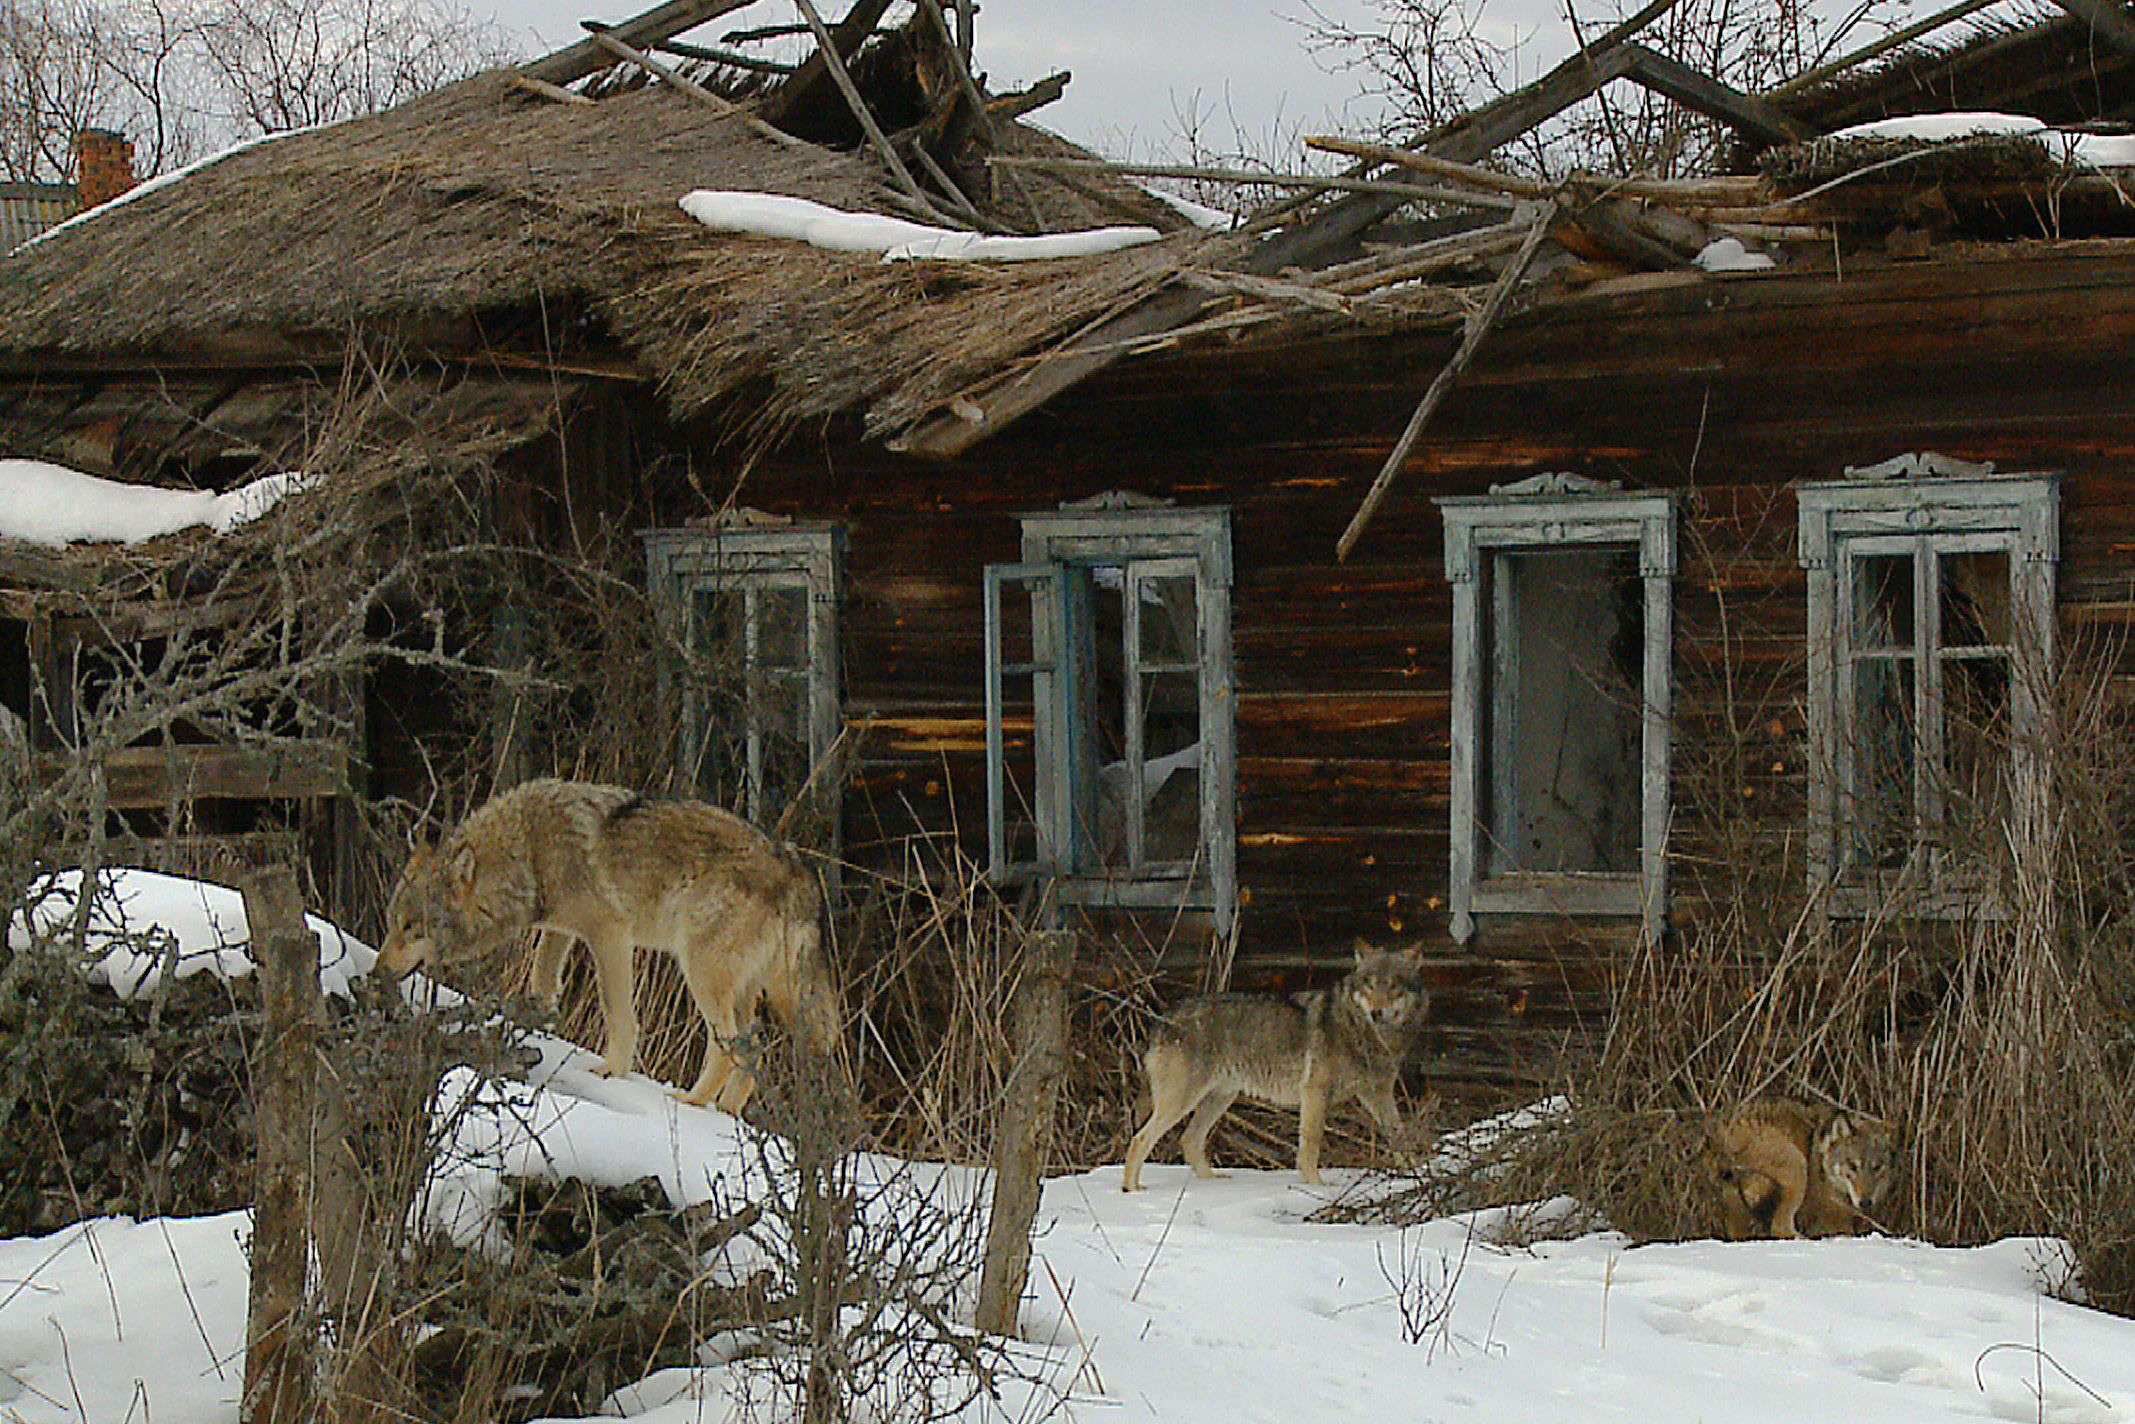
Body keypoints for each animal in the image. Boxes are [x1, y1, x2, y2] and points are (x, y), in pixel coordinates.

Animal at [375, 781, 841, 1110]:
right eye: (391, 924)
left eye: (411, 927)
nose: (377, 973)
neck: (530, 854)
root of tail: (799, 874)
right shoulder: (560, 930)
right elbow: (542, 981)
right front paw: (537, 1027)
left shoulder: (609, 934)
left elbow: (617, 1013)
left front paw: (610, 1071)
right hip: (743, 989)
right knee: (754, 1050)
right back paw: (723, 1113)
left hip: (702, 973)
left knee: (730, 1046)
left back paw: (691, 1102)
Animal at [1118, 939, 1434, 1195]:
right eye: (1369, 984)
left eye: (1393, 987)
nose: (1376, 1013)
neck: (1368, 1034)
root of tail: (1165, 1018)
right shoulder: (1315, 1092)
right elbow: (1311, 1142)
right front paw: (1317, 1187)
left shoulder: (1379, 1094)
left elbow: (1399, 1135)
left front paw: (1415, 1175)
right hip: (1183, 1101)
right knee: (1140, 1139)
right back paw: (1132, 1190)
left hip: (1219, 1099)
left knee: (1189, 1139)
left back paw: (1213, 1182)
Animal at [1699, 1101, 1904, 1238]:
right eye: (1852, 1165)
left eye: (1876, 1167)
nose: (1866, 1202)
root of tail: (1721, 1136)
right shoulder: (1834, 1214)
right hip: (1797, 1165)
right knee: (1780, 1228)